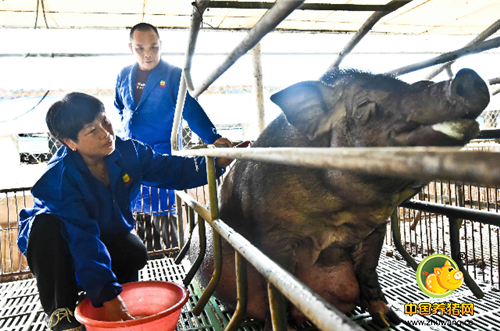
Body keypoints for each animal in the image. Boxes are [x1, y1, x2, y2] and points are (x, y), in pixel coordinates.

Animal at [190, 68, 488, 330]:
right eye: (364, 103)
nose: (466, 75)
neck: (340, 217)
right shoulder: (272, 237)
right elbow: (277, 287)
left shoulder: (376, 230)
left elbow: (368, 271)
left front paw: (390, 319)